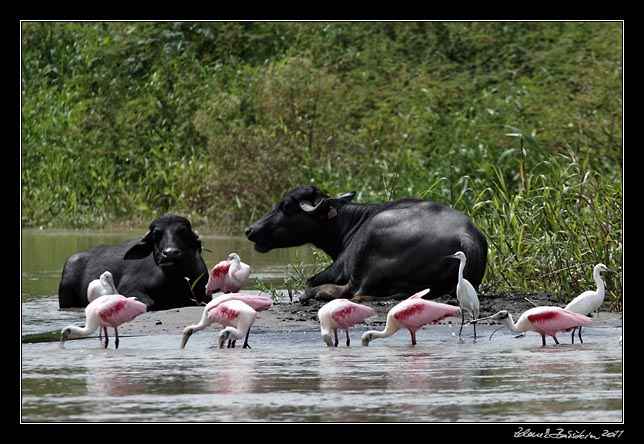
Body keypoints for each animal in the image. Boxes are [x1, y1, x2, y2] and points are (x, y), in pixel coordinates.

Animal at [57, 214, 209, 310]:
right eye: (156, 234)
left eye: (183, 232)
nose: (170, 253)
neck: (175, 283)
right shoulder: (128, 289)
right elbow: (149, 303)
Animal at [247, 186, 488, 304]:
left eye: (287, 205)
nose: (250, 230)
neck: (349, 224)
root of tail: (467, 236)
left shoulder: (340, 267)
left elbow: (309, 281)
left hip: (369, 254)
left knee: (354, 291)